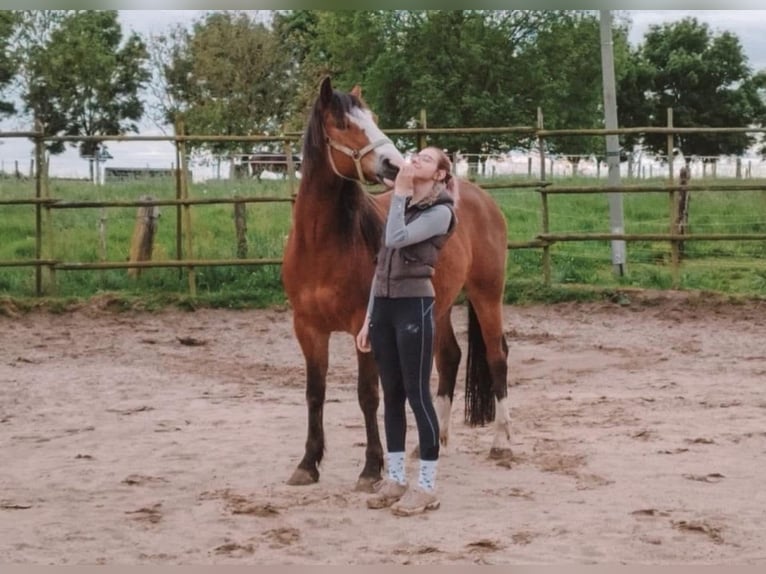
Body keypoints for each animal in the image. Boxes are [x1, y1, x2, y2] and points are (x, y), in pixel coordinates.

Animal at [280, 75, 510, 490]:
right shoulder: (307, 329)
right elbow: (314, 394)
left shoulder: (364, 326)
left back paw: (502, 443)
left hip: (487, 295)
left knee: (497, 356)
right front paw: (308, 464)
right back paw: (433, 442)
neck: (321, 245)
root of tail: (480, 197)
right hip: (439, 305)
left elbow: (368, 394)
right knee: (449, 357)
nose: (392, 164)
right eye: (343, 123)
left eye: (372, 118)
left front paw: (372, 468)